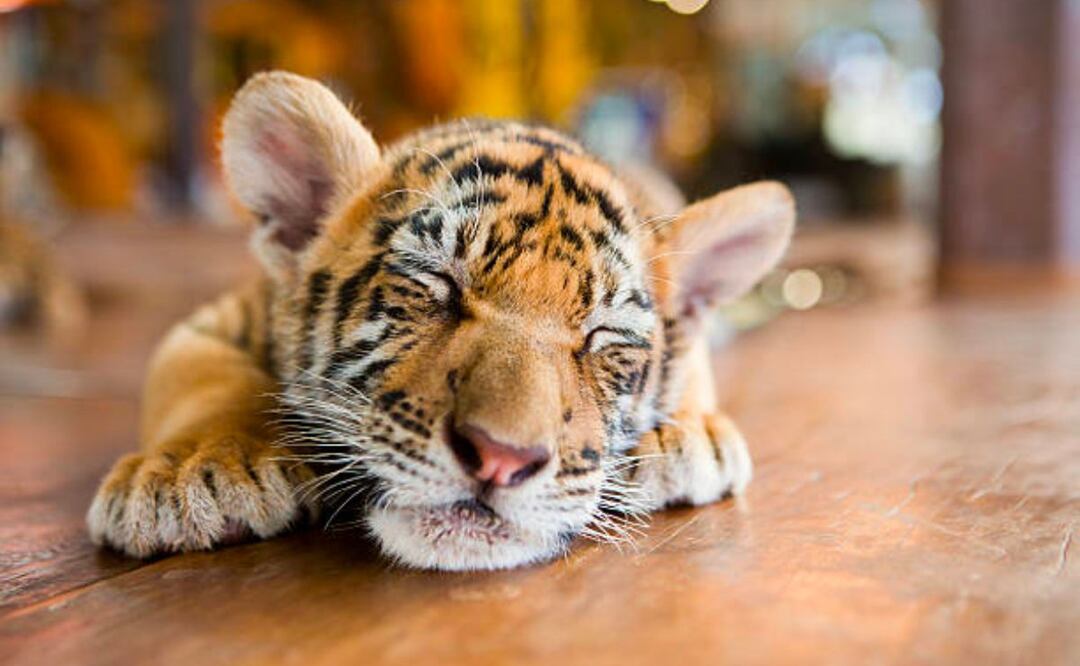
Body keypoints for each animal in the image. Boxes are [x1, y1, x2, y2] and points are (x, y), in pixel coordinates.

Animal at [86, 71, 795, 571]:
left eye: (601, 338)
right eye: (438, 285)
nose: (502, 460)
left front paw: (687, 434)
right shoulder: (212, 321)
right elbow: (202, 378)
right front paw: (191, 472)